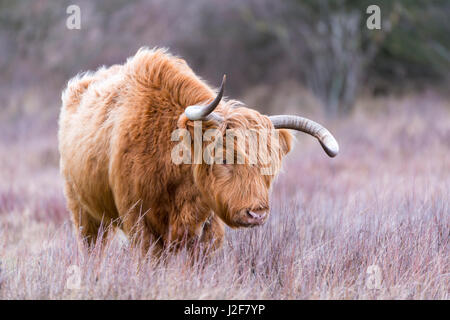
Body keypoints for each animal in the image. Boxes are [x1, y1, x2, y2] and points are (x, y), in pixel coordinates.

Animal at [58, 47, 340, 256]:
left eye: (270, 165)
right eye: (224, 157)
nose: (256, 213)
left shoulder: (207, 232)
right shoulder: (141, 225)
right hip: (84, 214)